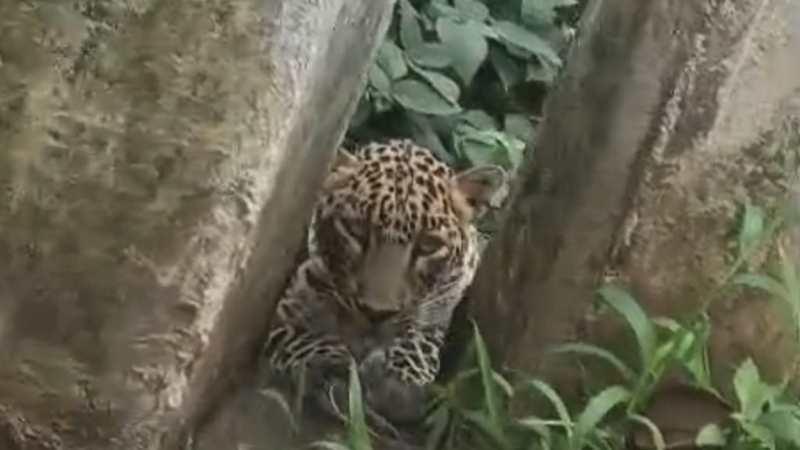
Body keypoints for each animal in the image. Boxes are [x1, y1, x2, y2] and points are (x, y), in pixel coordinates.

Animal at [262, 138, 505, 430]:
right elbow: (303, 339)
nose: (376, 314)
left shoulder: (441, 307)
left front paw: (397, 383)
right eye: (356, 230)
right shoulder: (286, 309)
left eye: (428, 246)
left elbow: (420, 339)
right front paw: (338, 369)